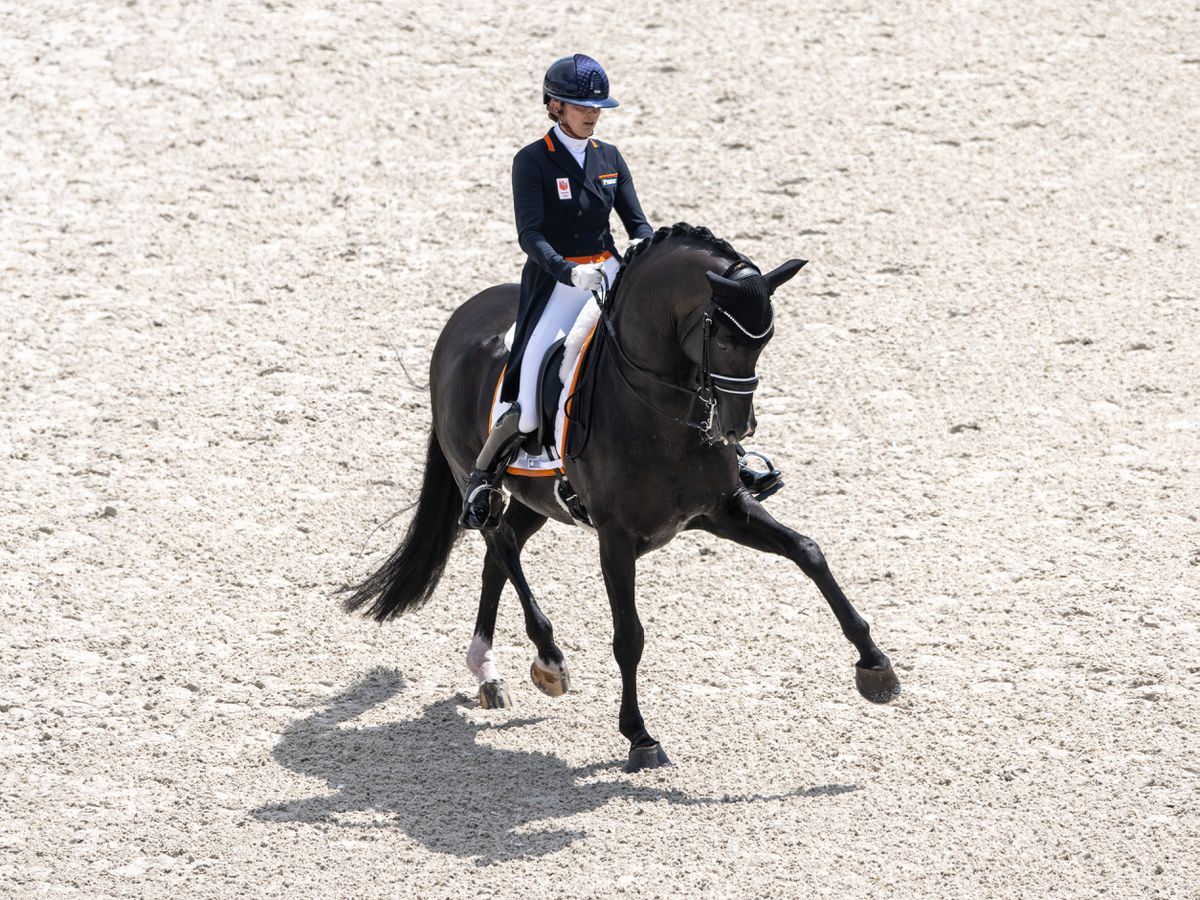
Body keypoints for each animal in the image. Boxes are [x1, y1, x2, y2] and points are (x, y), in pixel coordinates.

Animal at [343, 222, 897, 772]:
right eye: (720, 336)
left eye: (768, 337)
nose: (738, 428)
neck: (661, 410)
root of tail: (461, 317)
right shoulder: (616, 538)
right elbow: (629, 636)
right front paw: (640, 737)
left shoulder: (724, 510)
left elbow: (809, 552)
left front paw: (876, 668)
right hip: (475, 476)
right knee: (500, 545)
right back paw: (547, 657)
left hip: (536, 501)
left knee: (498, 559)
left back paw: (488, 672)